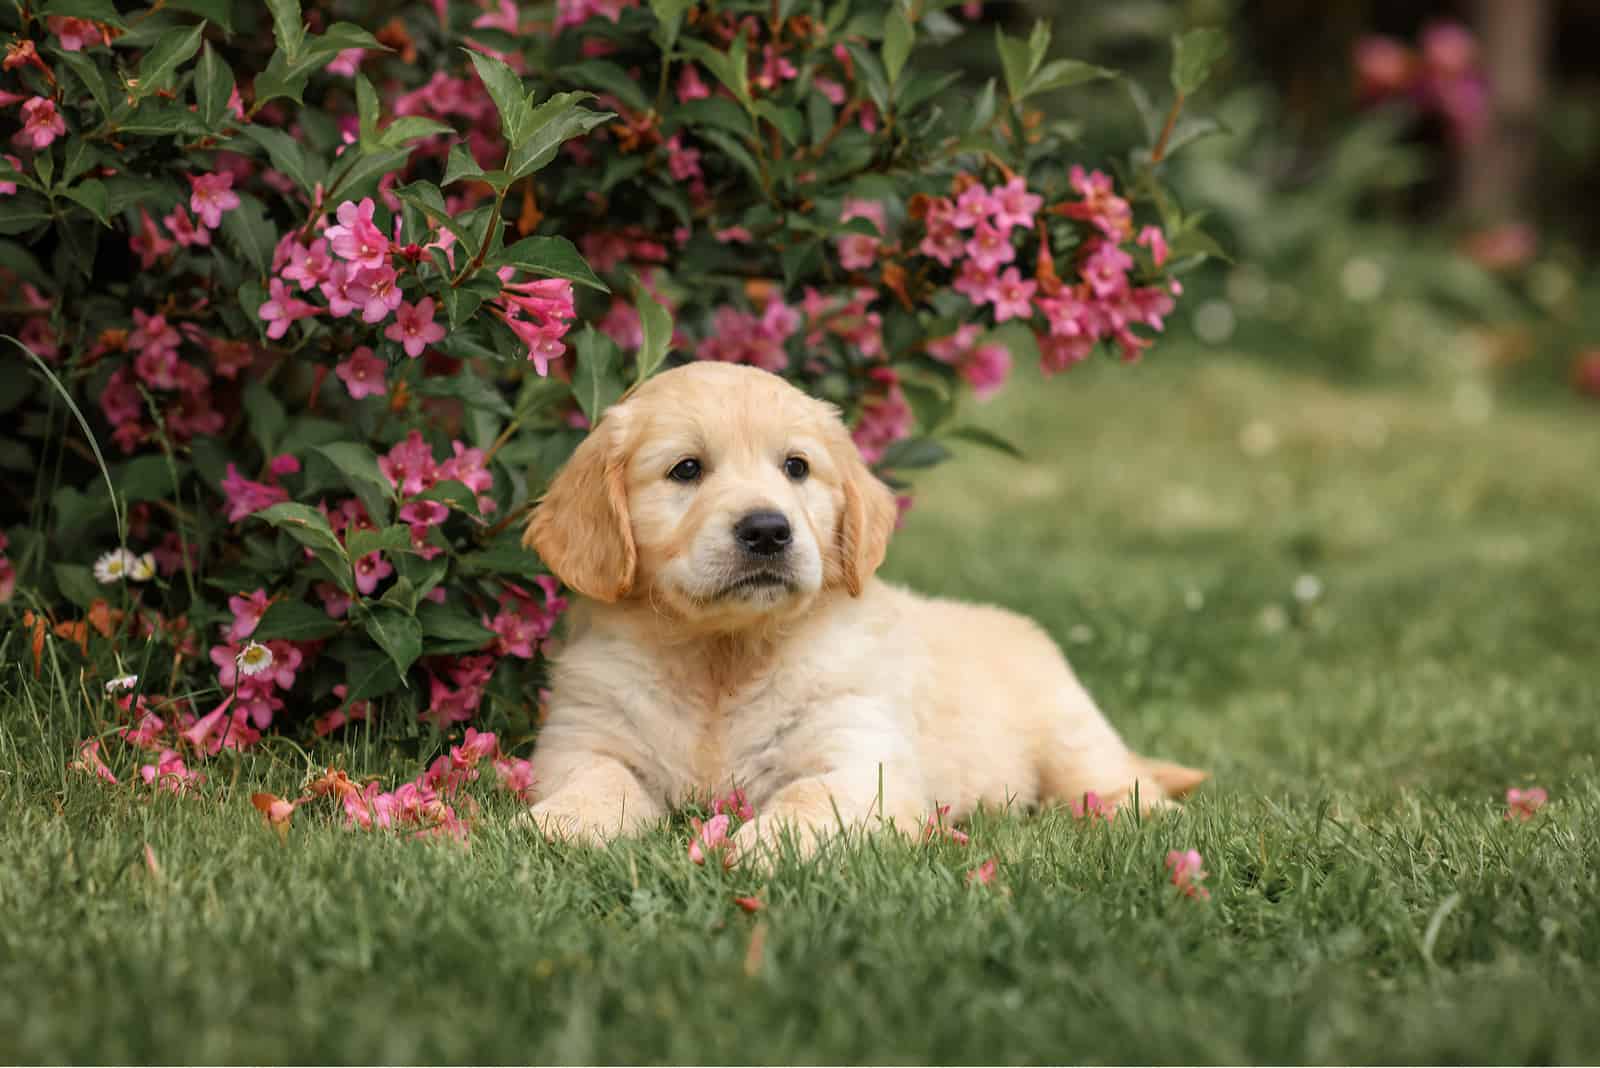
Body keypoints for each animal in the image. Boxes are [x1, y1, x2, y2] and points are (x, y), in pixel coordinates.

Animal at [518, 362, 1203, 863]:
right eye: (686, 470)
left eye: (796, 467)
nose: (767, 530)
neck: (724, 656)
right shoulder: (580, 736)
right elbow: (600, 779)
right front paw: (564, 822)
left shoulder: (859, 755)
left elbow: (808, 796)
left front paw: (761, 847)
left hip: (1067, 726)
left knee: (1115, 779)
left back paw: (1146, 817)